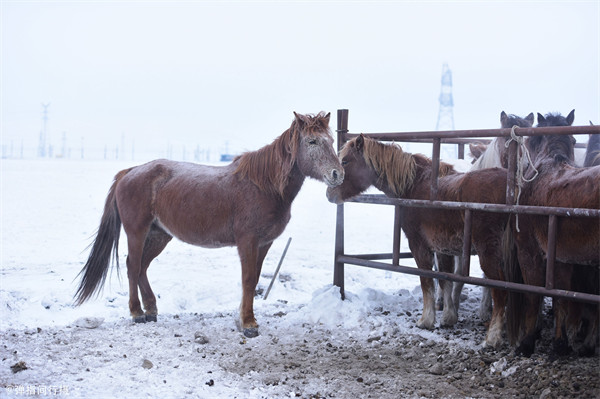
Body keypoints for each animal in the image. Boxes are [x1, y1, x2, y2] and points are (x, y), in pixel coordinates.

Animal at [75, 111, 344, 338]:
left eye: (331, 140)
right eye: (312, 141)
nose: (337, 174)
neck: (263, 186)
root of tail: (130, 171)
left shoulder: (264, 243)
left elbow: (254, 279)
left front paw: (242, 319)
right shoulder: (247, 241)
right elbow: (248, 279)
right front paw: (248, 324)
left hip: (160, 235)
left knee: (142, 267)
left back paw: (151, 310)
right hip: (137, 232)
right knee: (133, 266)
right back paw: (137, 313)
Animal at [328, 136, 516, 348]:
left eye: (345, 161)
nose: (329, 194)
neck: (415, 186)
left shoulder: (419, 245)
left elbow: (427, 280)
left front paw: (426, 320)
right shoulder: (443, 248)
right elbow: (445, 279)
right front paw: (449, 317)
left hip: (489, 253)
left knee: (500, 291)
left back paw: (492, 337)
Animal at [506, 111, 600, 358]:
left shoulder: (529, 252)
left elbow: (534, 295)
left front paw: (527, 343)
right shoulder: (561, 259)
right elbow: (561, 298)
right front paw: (560, 343)